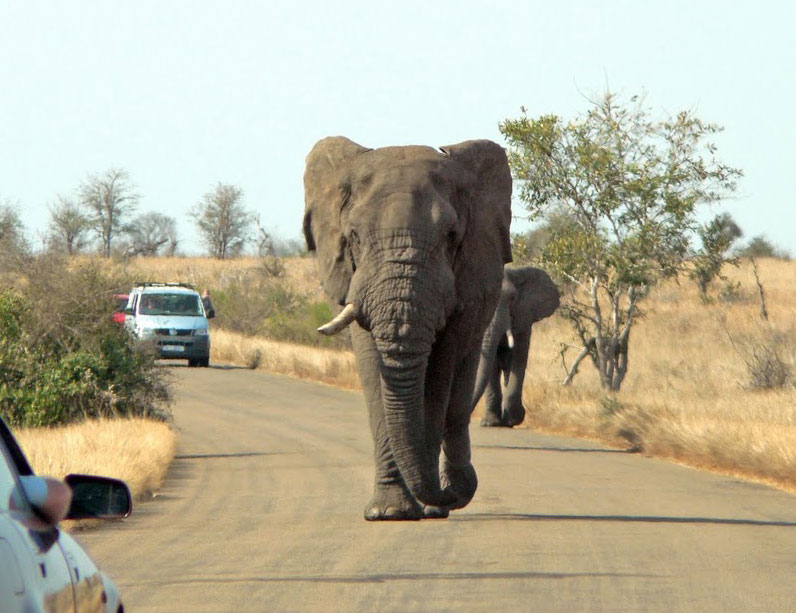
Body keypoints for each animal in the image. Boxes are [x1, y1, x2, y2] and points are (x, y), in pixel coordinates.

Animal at [302, 136, 512, 520]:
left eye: (452, 236)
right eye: (353, 235)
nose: (446, 496)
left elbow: (439, 374)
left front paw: (429, 506)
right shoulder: (355, 279)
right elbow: (374, 371)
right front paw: (388, 513)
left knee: (458, 391)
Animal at [472, 266, 560, 428]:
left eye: (512, 298)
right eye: (487, 298)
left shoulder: (524, 316)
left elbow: (518, 359)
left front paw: (513, 420)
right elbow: (491, 366)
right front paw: (490, 423)